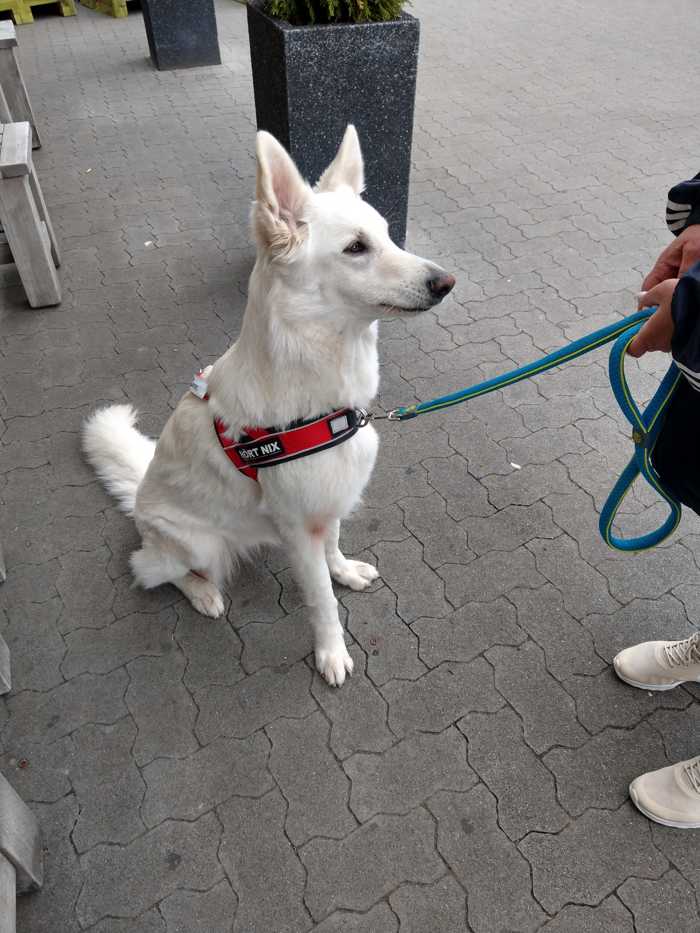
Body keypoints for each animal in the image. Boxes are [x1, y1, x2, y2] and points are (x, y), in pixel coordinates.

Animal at [83, 125, 454, 684]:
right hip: (196, 543)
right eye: (356, 248)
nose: (446, 283)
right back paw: (204, 593)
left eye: (389, 236)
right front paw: (331, 653)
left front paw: (344, 571)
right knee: (149, 569)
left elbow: (334, 545)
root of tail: (139, 501)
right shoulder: (299, 529)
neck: (321, 392)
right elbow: (322, 601)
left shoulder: (327, 501)